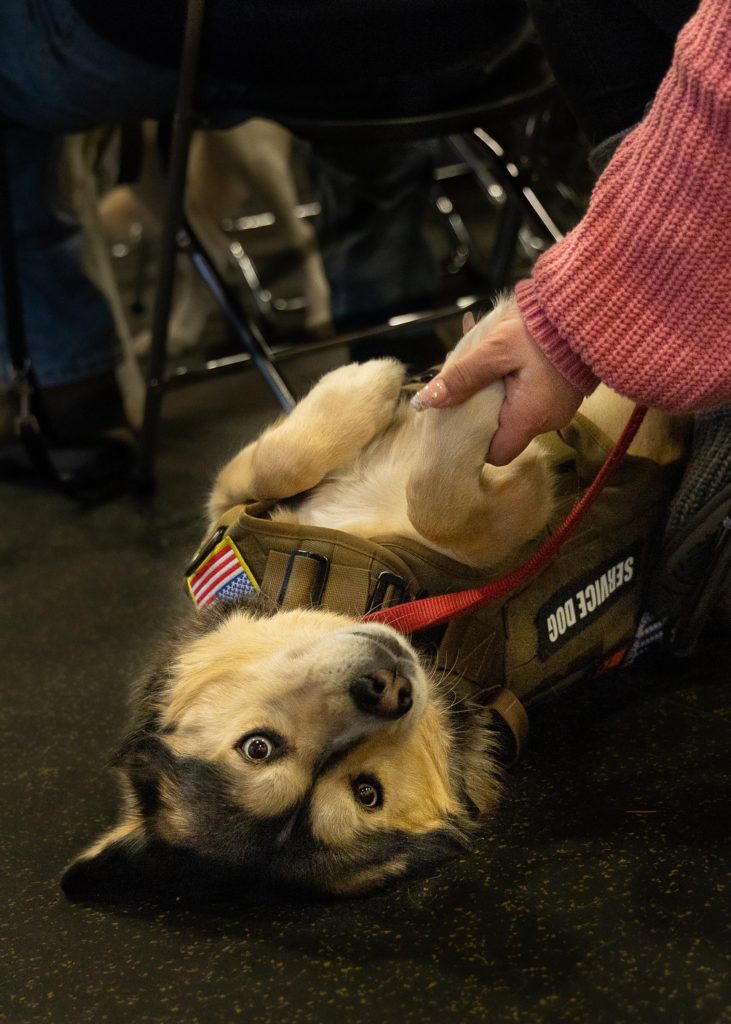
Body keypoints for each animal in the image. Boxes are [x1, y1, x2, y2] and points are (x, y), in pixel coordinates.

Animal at [62, 299, 683, 905]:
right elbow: (447, 505)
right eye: (366, 793)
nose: (385, 689)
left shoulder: (241, 506)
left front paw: (374, 379)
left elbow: (262, 468)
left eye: (256, 748)